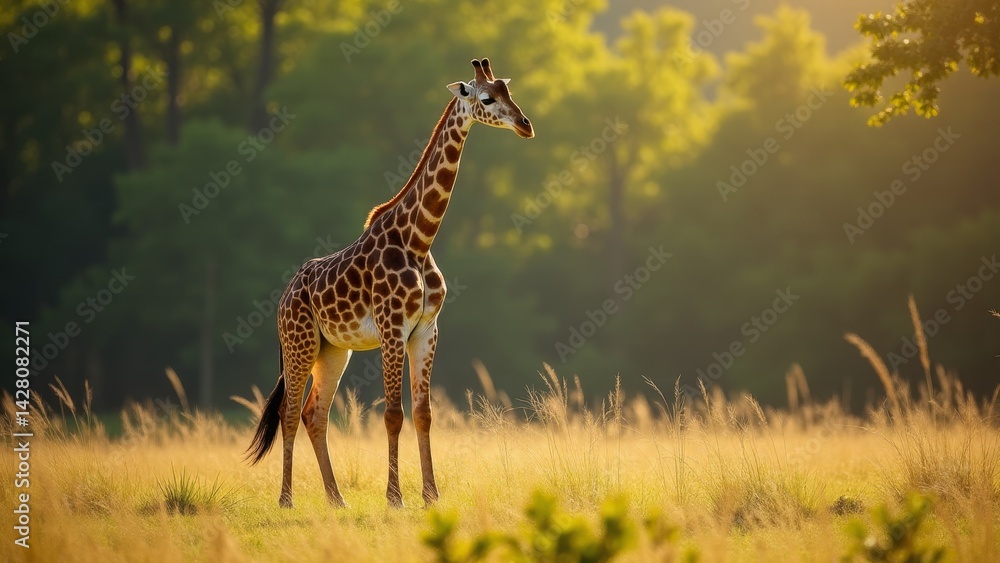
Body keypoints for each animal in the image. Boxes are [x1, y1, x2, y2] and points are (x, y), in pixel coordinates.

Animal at [246, 58, 533, 509]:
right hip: (299, 343)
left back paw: (336, 499)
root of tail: (283, 297)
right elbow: (393, 414)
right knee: (288, 412)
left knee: (314, 414)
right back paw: (286, 500)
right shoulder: (392, 327)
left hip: (333, 350)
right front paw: (395, 497)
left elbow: (423, 413)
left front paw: (431, 495)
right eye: (487, 98)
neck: (418, 239)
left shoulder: (427, 329)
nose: (525, 124)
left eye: (509, 91)